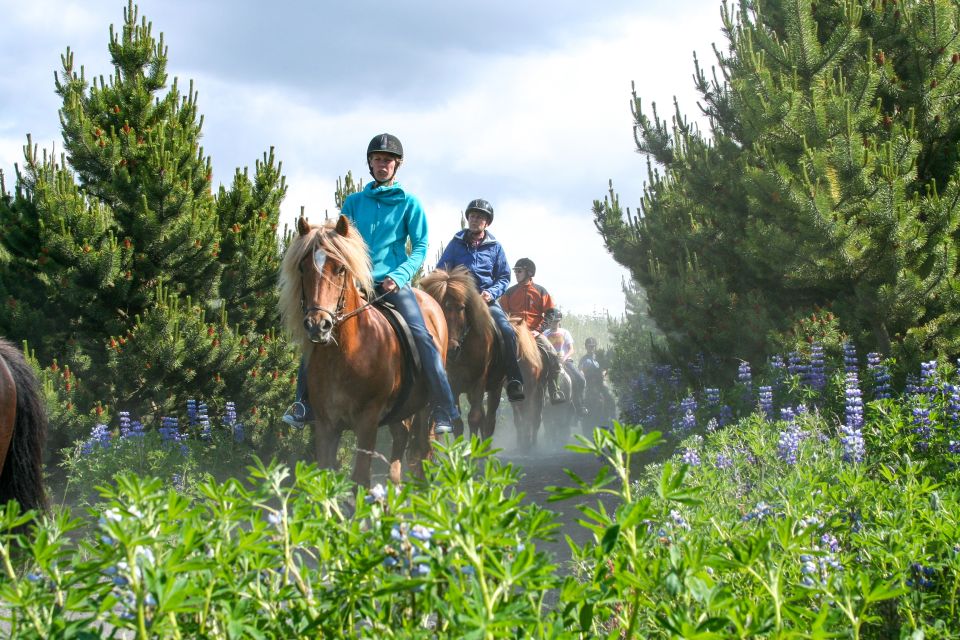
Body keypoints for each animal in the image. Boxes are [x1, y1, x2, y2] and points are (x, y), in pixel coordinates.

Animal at [276, 215, 444, 484]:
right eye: (303, 268)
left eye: (340, 268)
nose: (318, 325)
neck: (346, 356)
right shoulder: (326, 424)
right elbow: (325, 475)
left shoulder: (367, 422)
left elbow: (360, 478)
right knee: (401, 440)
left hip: (425, 410)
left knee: (423, 452)